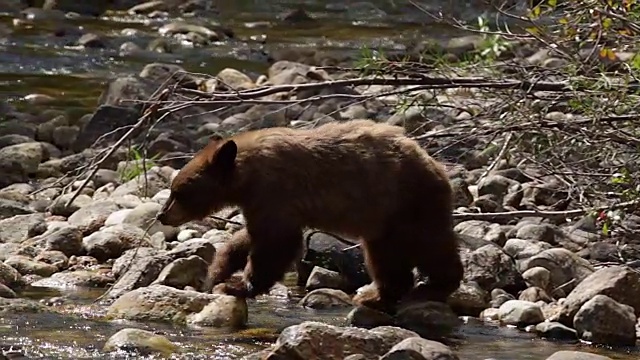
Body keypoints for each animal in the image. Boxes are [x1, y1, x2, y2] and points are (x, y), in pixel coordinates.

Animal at [157, 119, 462, 314]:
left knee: (431, 246)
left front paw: (237, 285)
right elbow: (250, 236)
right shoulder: (262, 201)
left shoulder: (275, 190)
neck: (247, 174)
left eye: (178, 192)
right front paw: (218, 271)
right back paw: (377, 296)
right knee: (386, 257)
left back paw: (432, 287)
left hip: (407, 204)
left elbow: (275, 242)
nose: (161, 215)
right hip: (385, 221)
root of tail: (436, 165)